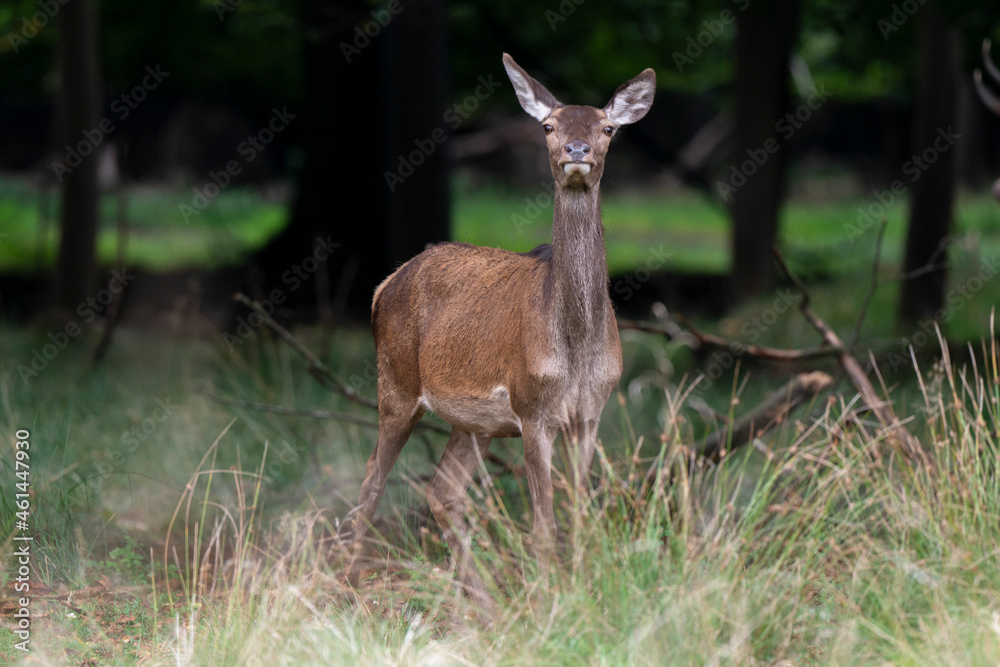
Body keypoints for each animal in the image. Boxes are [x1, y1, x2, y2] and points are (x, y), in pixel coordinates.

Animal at [345, 54, 656, 612]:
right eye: (549, 126)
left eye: (608, 128)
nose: (577, 151)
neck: (576, 350)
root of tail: (384, 285)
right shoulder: (533, 408)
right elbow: (543, 525)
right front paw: (551, 603)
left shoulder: (590, 413)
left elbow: (580, 518)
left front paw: (582, 594)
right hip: (395, 384)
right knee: (370, 481)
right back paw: (352, 591)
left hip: (474, 424)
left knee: (441, 491)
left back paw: (484, 604)